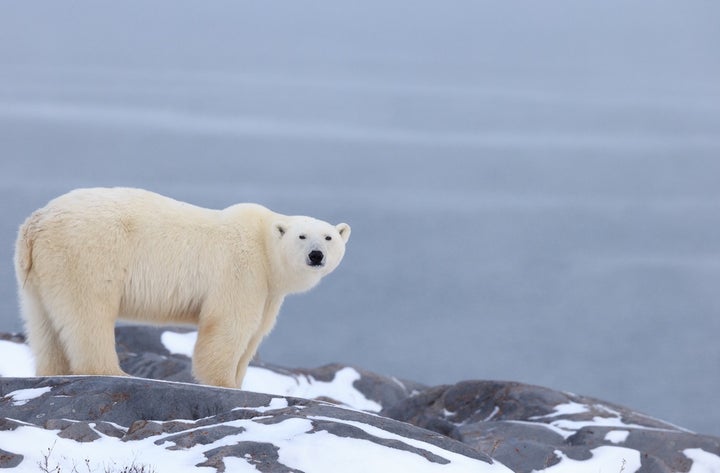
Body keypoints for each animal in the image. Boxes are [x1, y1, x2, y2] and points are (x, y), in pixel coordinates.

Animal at [11, 187, 348, 388]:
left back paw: (52, 371)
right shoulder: (242, 270)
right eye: (302, 236)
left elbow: (254, 334)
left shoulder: (268, 291)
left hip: (39, 272)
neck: (264, 246)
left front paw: (238, 382)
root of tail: (36, 222)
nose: (316, 255)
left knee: (43, 323)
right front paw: (223, 384)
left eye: (329, 237)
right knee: (89, 313)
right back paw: (112, 371)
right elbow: (229, 327)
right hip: (88, 252)